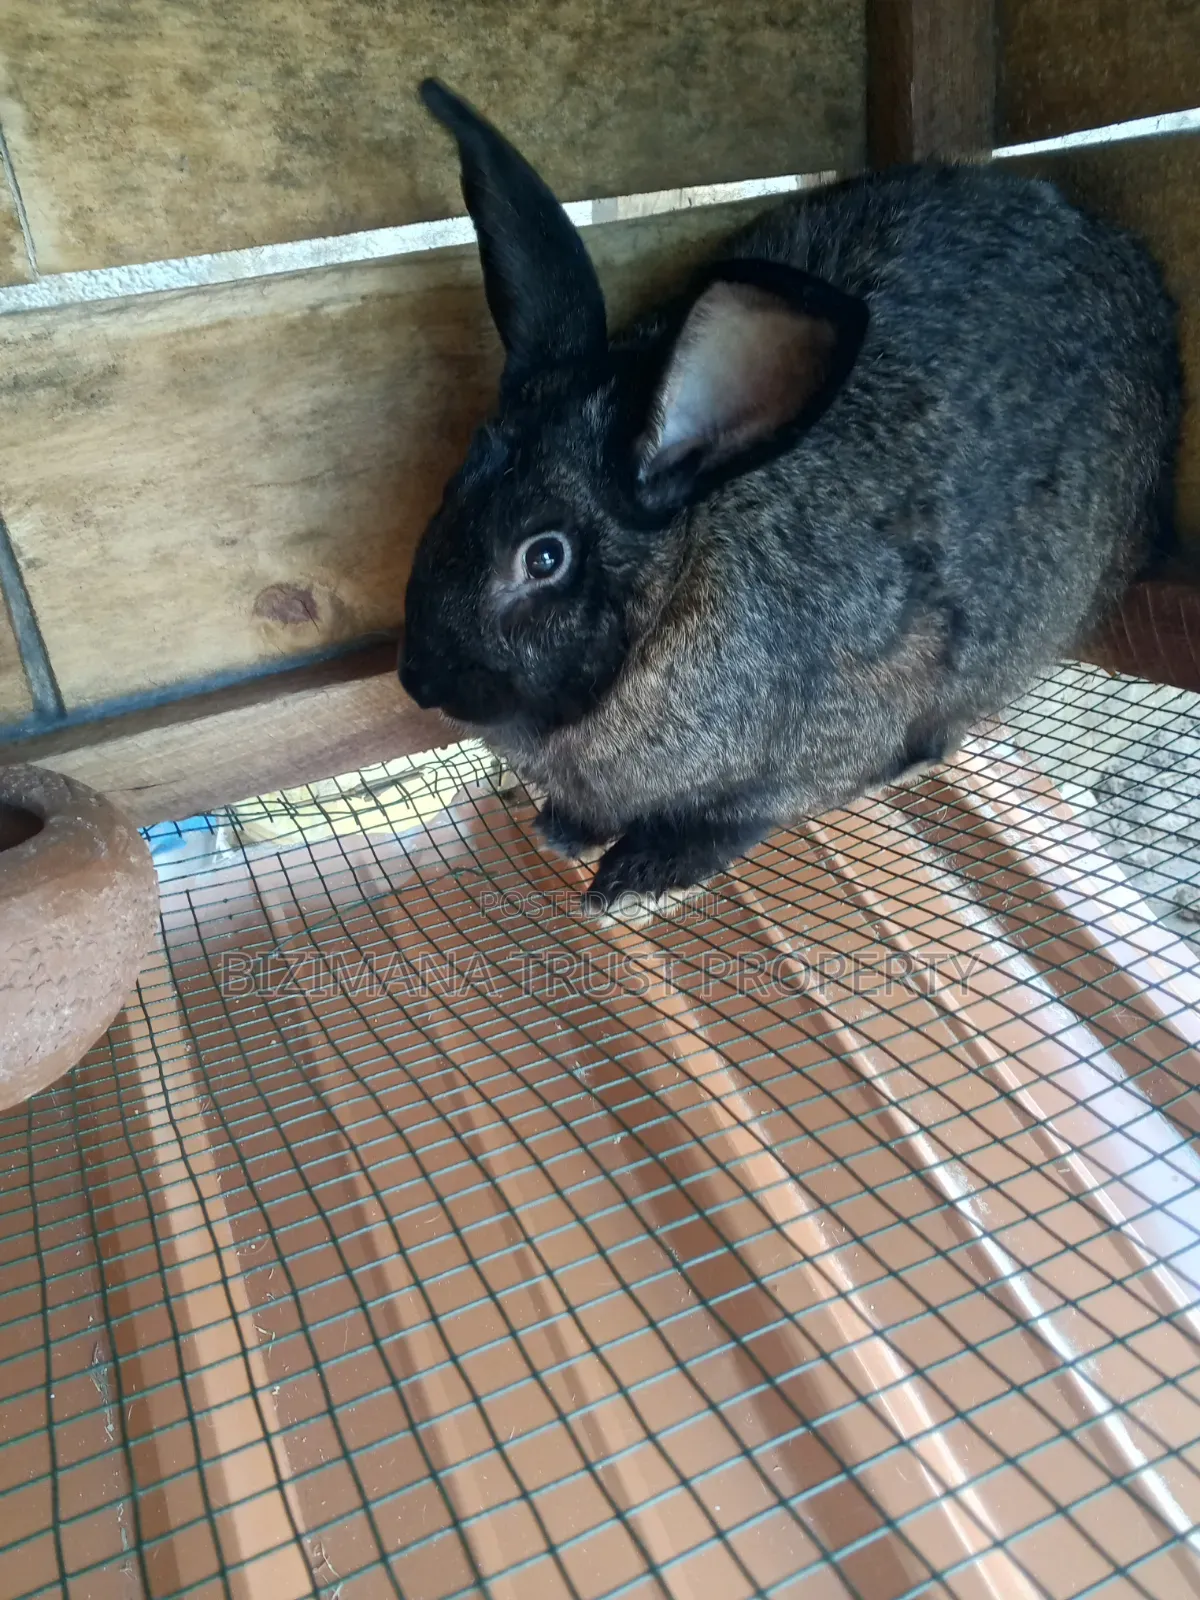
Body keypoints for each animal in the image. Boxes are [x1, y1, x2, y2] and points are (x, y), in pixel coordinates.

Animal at [399, 78, 1182, 923]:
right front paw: (564, 829)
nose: (419, 680)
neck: (678, 585)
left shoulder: (830, 738)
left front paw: (636, 880)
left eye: (544, 556)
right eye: (449, 490)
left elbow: (744, 815)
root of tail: (1133, 264)